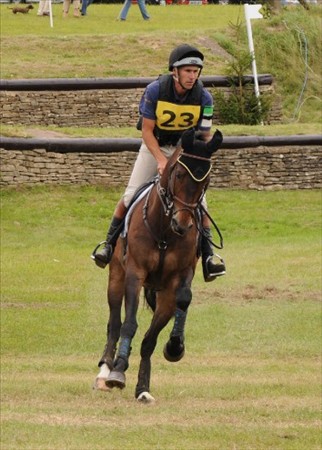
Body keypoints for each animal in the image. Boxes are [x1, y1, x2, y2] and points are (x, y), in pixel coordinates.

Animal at [94, 128, 223, 402]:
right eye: (179, 174)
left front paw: (174, 347)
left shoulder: (180, 277)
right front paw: (117, 372)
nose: (182, 225)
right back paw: (105, 371)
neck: (164, 232)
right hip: (116, 277)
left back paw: (142, 388)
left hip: (162, 294)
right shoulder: (135, 273)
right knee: (114, 322)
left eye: (205, 181)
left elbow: (167, 319)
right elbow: (129, 323)